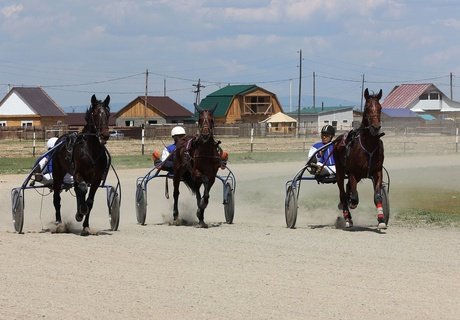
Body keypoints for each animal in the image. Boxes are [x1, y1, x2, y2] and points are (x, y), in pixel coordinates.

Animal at [51, 94, 111, 235]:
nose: (105, 134)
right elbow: (83, 189)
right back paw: (59, 223)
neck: (91, 150)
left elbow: (89, 201)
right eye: (96, 113)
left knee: (77, 191)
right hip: (58, 174)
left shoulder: (96, 178)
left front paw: (85, 225)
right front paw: (81, 211)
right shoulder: (78, 173)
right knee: (57, 198)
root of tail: (61, 139)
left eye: (108, 114)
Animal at [332, 87, 386, 228]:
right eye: (367, 107)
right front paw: (351, 203)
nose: (375, 127)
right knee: (342, 193)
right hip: (340, 171)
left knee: (347, 189)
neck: (368, 146)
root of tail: (338, 140)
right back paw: (347, 217)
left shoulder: (377, 171)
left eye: (380, 107)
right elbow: (354, 198)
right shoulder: (353, 173)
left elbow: (378, 196)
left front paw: (381, 219)